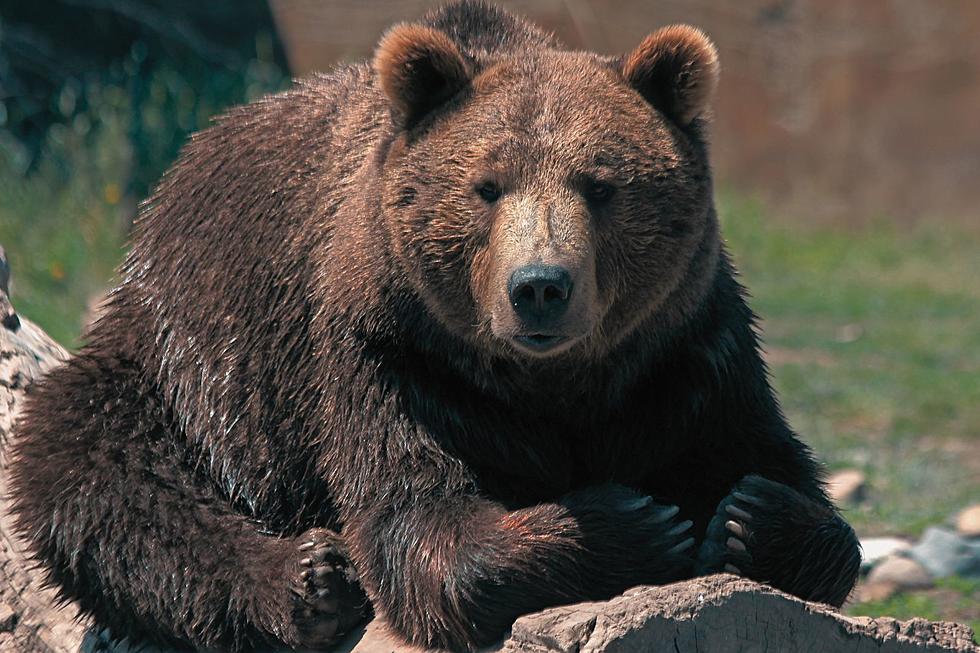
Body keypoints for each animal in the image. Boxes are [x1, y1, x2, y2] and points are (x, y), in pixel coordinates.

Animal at [8, 2, 861, 651]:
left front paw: (750, 516)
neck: (553, 383)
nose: (539, 287)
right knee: (96, 471)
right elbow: (421, 523)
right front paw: (632, 522)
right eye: (487, 187)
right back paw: (310, 579)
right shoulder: (390, 352)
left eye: (601, 185)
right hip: (186, 357)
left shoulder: (685, 348)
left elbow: (776, 470)